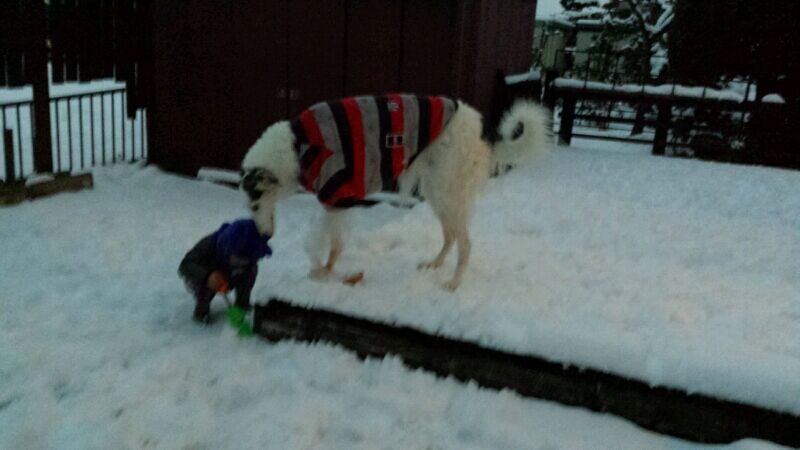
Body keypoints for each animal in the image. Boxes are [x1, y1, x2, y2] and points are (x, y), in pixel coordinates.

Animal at [241, 94, 550, 290]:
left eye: (255, 205)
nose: (265, 236)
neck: (296, 145)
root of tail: (481, 127)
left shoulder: (338, 196)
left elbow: (327, 242)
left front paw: (321, 271)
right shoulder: (336, 201)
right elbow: (332, 242)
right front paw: (325, 270)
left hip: (446, 190)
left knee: (465, 243)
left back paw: (453, 283)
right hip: (437, 191)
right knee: (450, 235)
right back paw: (434, 264)